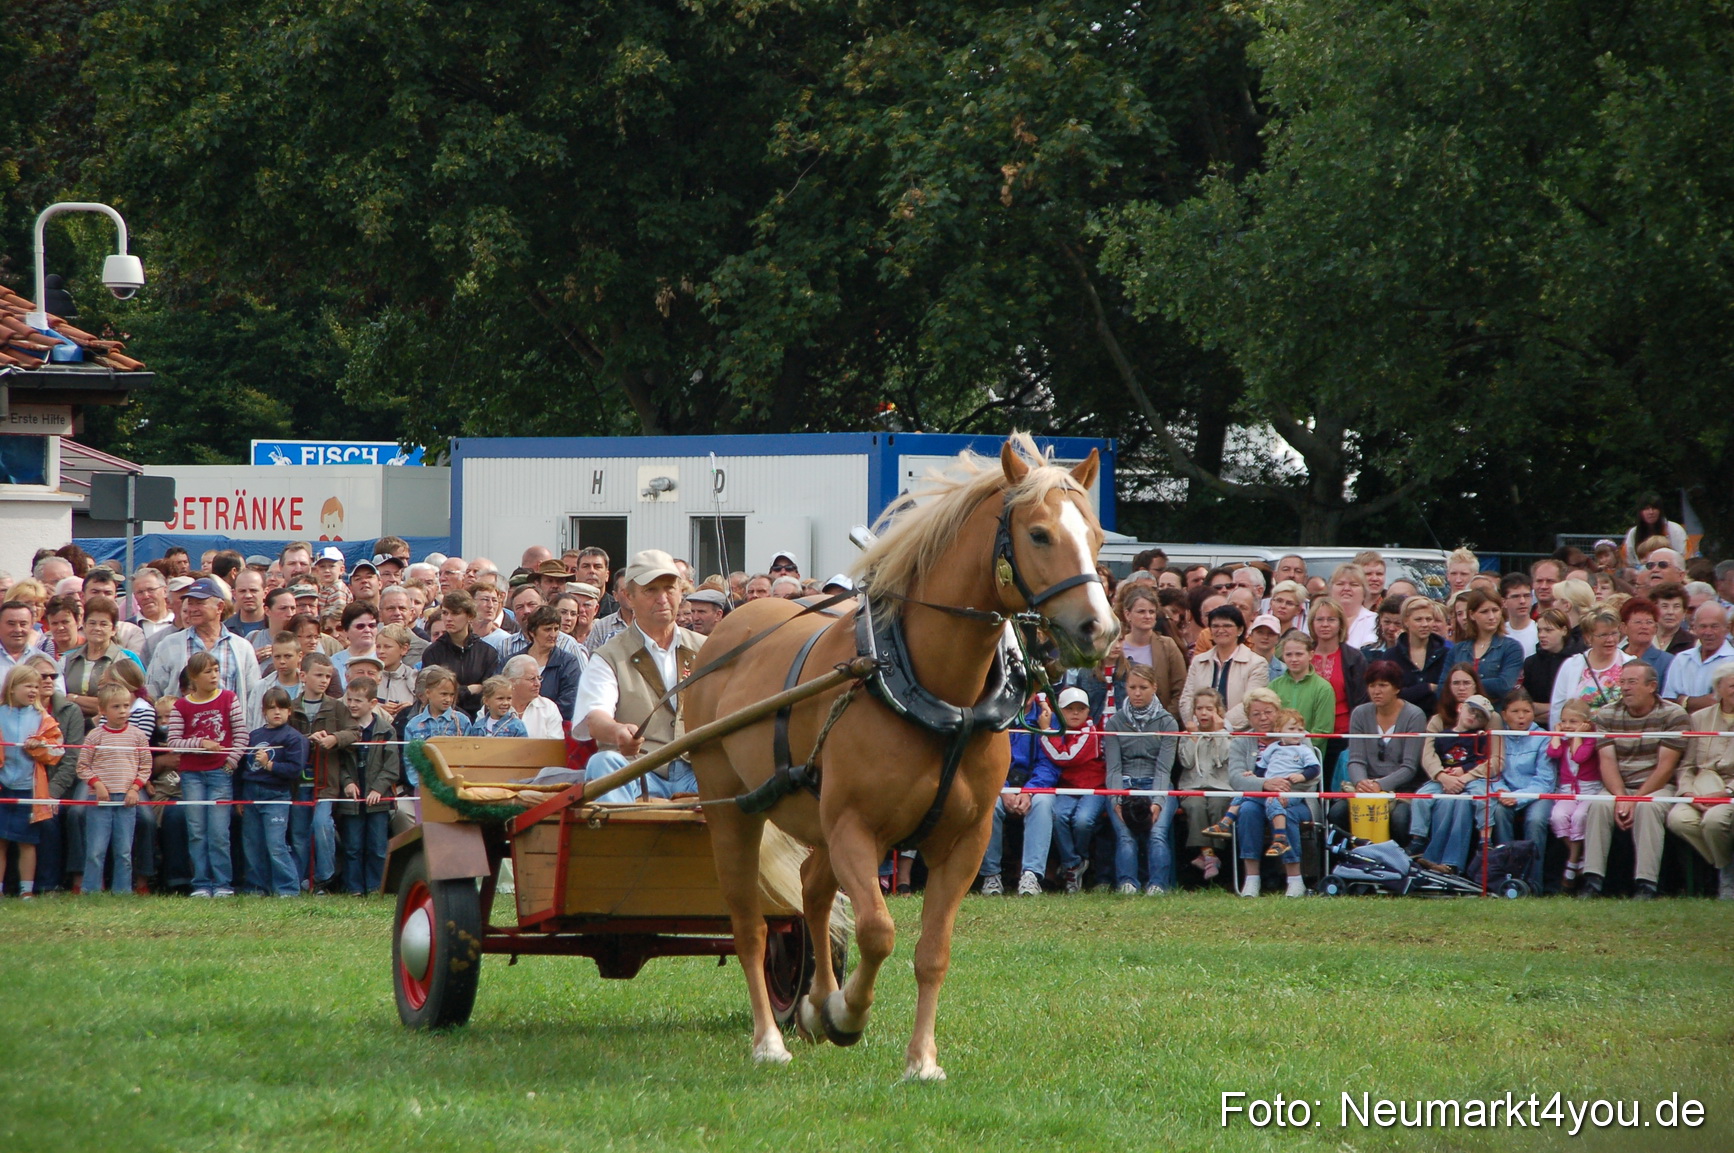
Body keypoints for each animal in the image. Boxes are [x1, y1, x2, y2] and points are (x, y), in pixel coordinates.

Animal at [684, 433, 1117, 1078]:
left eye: (1095, 535)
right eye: (1040, 534)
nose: (1100, 629)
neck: (932, 689)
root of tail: (730, 624)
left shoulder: (964, 842)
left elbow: (931, 950)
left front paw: (920, 1059)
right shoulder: (854, 828)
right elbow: (877, 930)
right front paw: (847, 1014)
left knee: (812, 892)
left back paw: (812, 1003)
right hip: (734, 811)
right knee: (751, 927)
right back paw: (771, 1039)